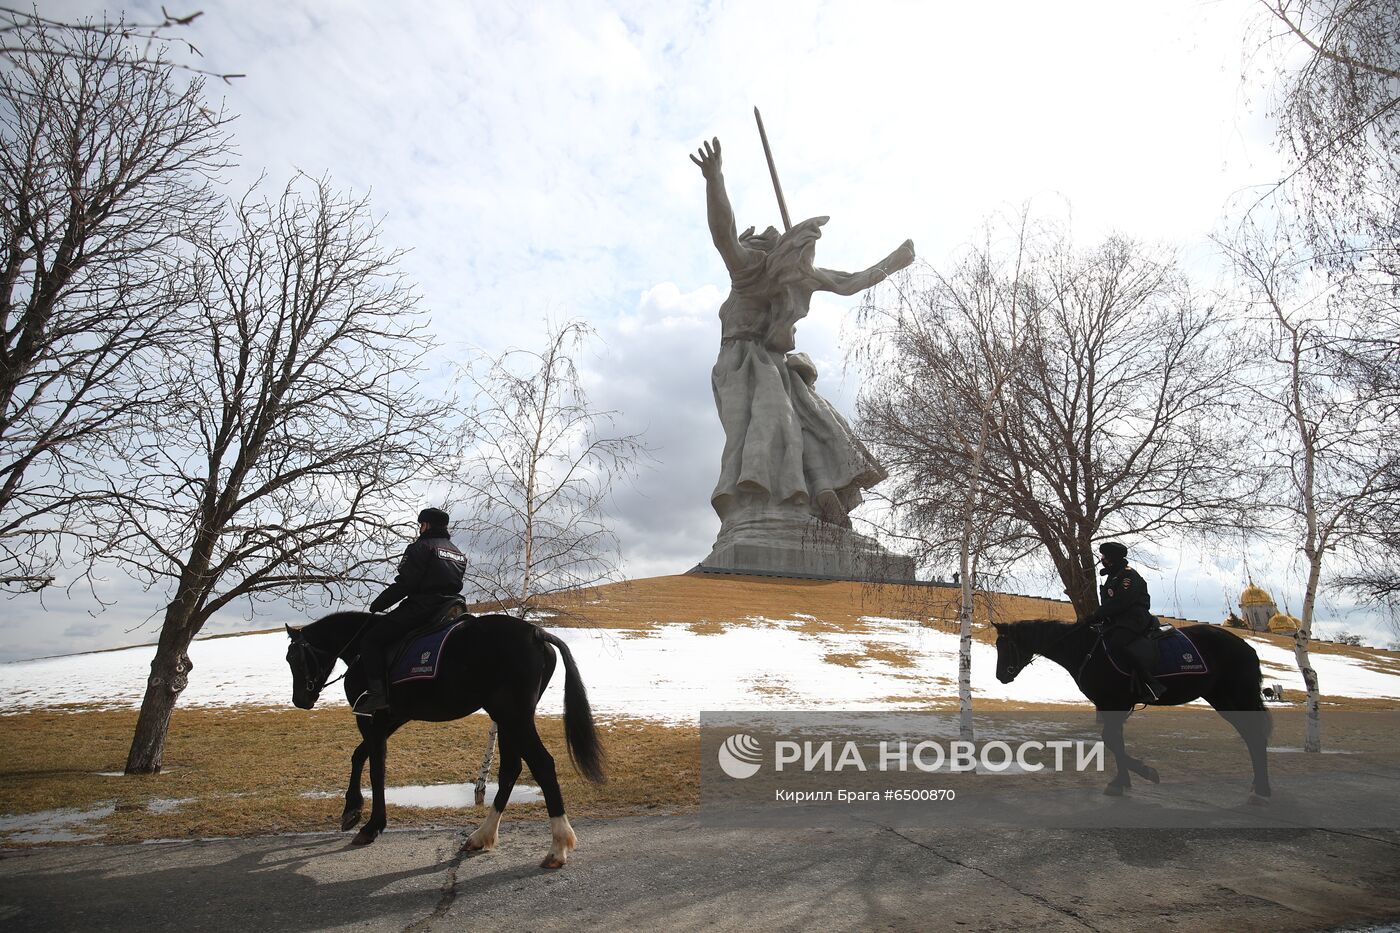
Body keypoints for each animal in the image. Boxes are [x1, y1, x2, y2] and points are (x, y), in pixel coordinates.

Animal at [287, 607, 604, 868]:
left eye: (295, 659)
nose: (300, 700)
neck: (362, 648)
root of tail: (536, 633)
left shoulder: (371, 719)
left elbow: (377, 769)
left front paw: (372, 825)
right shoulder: (392, 719)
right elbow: (359, 754)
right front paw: (352, 810)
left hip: (514, 716)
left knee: (542, 765)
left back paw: (557, 848)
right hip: (508, 719)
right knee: (510, 770)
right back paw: (482, 835)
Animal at [991, 616, 1276, 801]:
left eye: (1005, 645)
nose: (1000, 676)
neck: (1086, 649)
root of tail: (1247, 648)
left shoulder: (1114, 703)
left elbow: (1111, 739)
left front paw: (1145, 773)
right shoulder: (1109, 706)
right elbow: (1114, 740)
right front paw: (1122, 781)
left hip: (1238, 697)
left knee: (1255, 736)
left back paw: (1262, 789)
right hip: (1223, 699)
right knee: (1251, 736)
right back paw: (1259, 784)